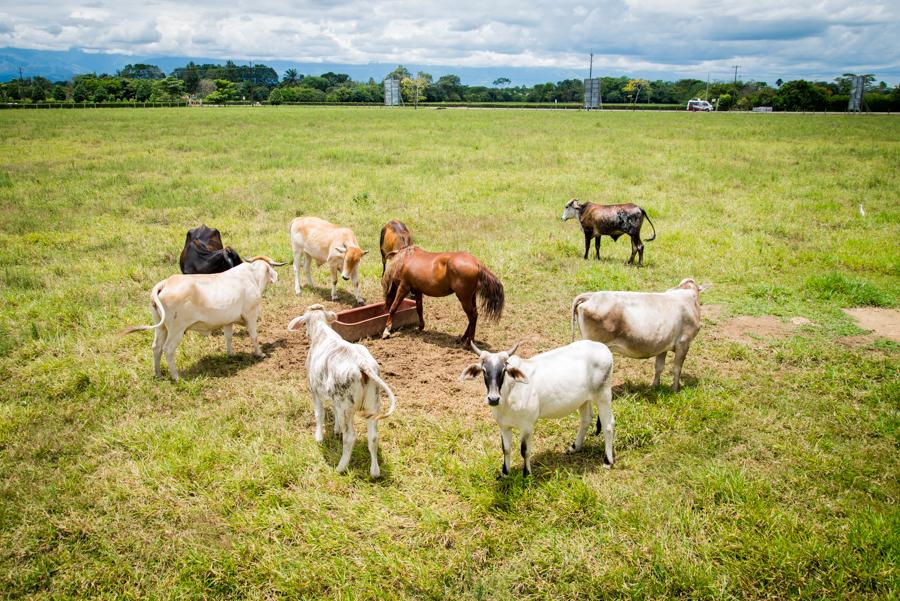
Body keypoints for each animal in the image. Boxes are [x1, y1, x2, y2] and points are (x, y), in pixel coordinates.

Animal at [123, 254, 284, 380]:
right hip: (176, 330)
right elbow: (254, 336)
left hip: (161, 327)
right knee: (168, 349)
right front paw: (260, 353)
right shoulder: (251, 315)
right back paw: (176, 377)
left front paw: (231, 354)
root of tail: (166, 283)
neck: (253, 277)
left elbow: (228, 337)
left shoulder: (228, 321)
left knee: (156, 347)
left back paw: (158, 375)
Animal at [288, 304, 398, 478]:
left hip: (347, 407)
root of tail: (361, 363)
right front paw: (336, 429)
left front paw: (319, 437)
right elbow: (333, 412)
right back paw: (374, 472)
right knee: (373, 438)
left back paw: (341, 467)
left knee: (350, 437)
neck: (322, 332)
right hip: (373, 404)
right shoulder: (334, 399)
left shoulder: (314, 390)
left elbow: (319, 414)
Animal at [460, 340, 616, 476]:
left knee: (608, 425)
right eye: (484, 370)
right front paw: (505, 473)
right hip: (583, 400)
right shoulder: (504, 426)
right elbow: (506, 449)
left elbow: (524, 450)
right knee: (586, 419)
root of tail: (603, 347)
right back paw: (574, 447)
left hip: (603, 396)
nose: (493, 399)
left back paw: (608, 461)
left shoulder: (527, 426)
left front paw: (527, 474)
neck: (509, 394)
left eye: (503, 370)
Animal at [568, 278, 712, 392]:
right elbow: (677, 368)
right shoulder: (684, 343)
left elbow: (659, 367)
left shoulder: (663, 345)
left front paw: (655, 386)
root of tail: (591, 295)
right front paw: (675, 389)